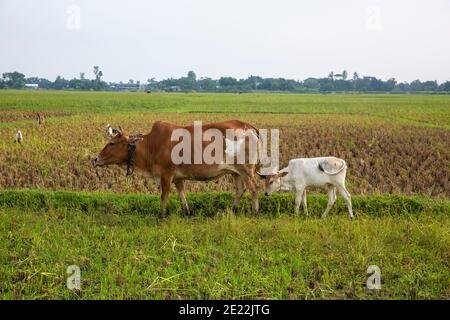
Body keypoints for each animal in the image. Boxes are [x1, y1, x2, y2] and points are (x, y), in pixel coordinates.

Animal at [93, 120, 262, 218]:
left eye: (112, 143)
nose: (95, 159)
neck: (151, 145)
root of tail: (249, 127)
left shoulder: (166, 175)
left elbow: (164, 195)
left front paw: (161, 215)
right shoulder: (178, 178)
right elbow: (182, 194)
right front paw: (187, 212)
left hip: (247, 171)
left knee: (253, 188)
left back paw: (255, 213)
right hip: (236, 172)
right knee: (240, 190)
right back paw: (232, 210)